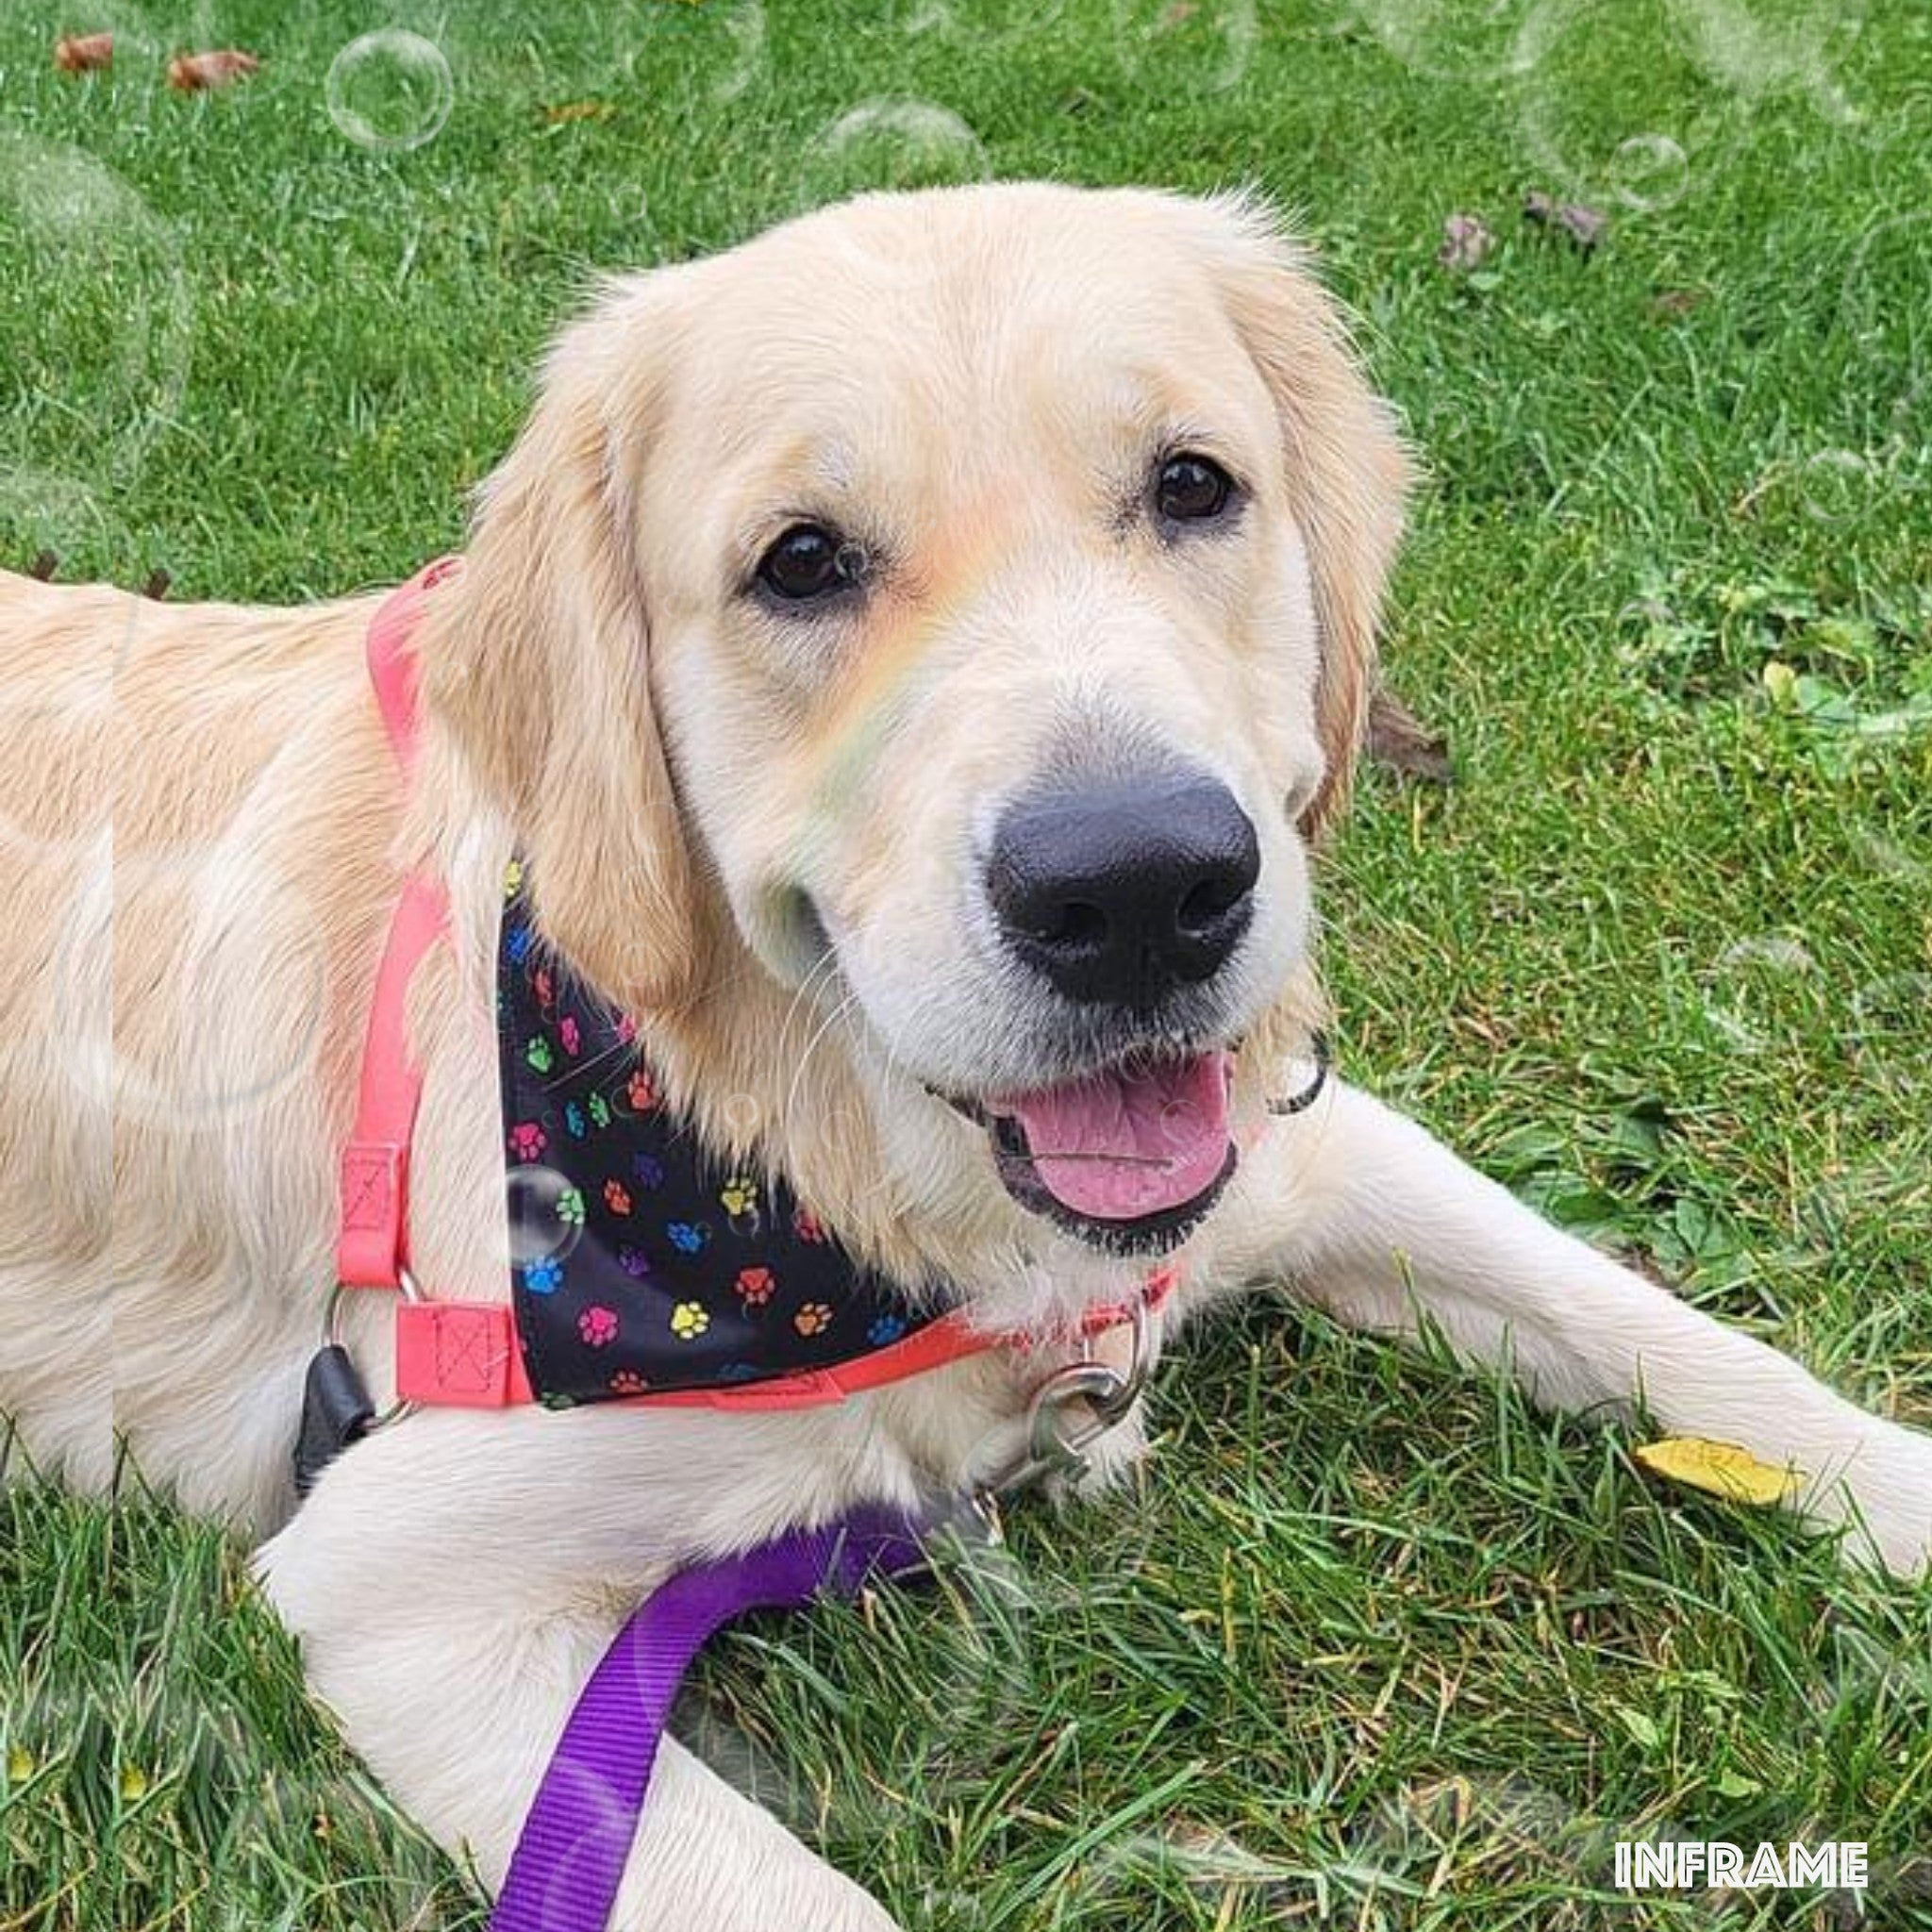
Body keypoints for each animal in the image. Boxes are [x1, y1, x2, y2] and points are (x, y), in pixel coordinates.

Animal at [4, 184, 1932, 1932]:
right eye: (800, 561)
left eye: (1191, 485)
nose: (1139, 889)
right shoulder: (391, 1583)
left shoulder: (1307, 1147)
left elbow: (1685, 1341)